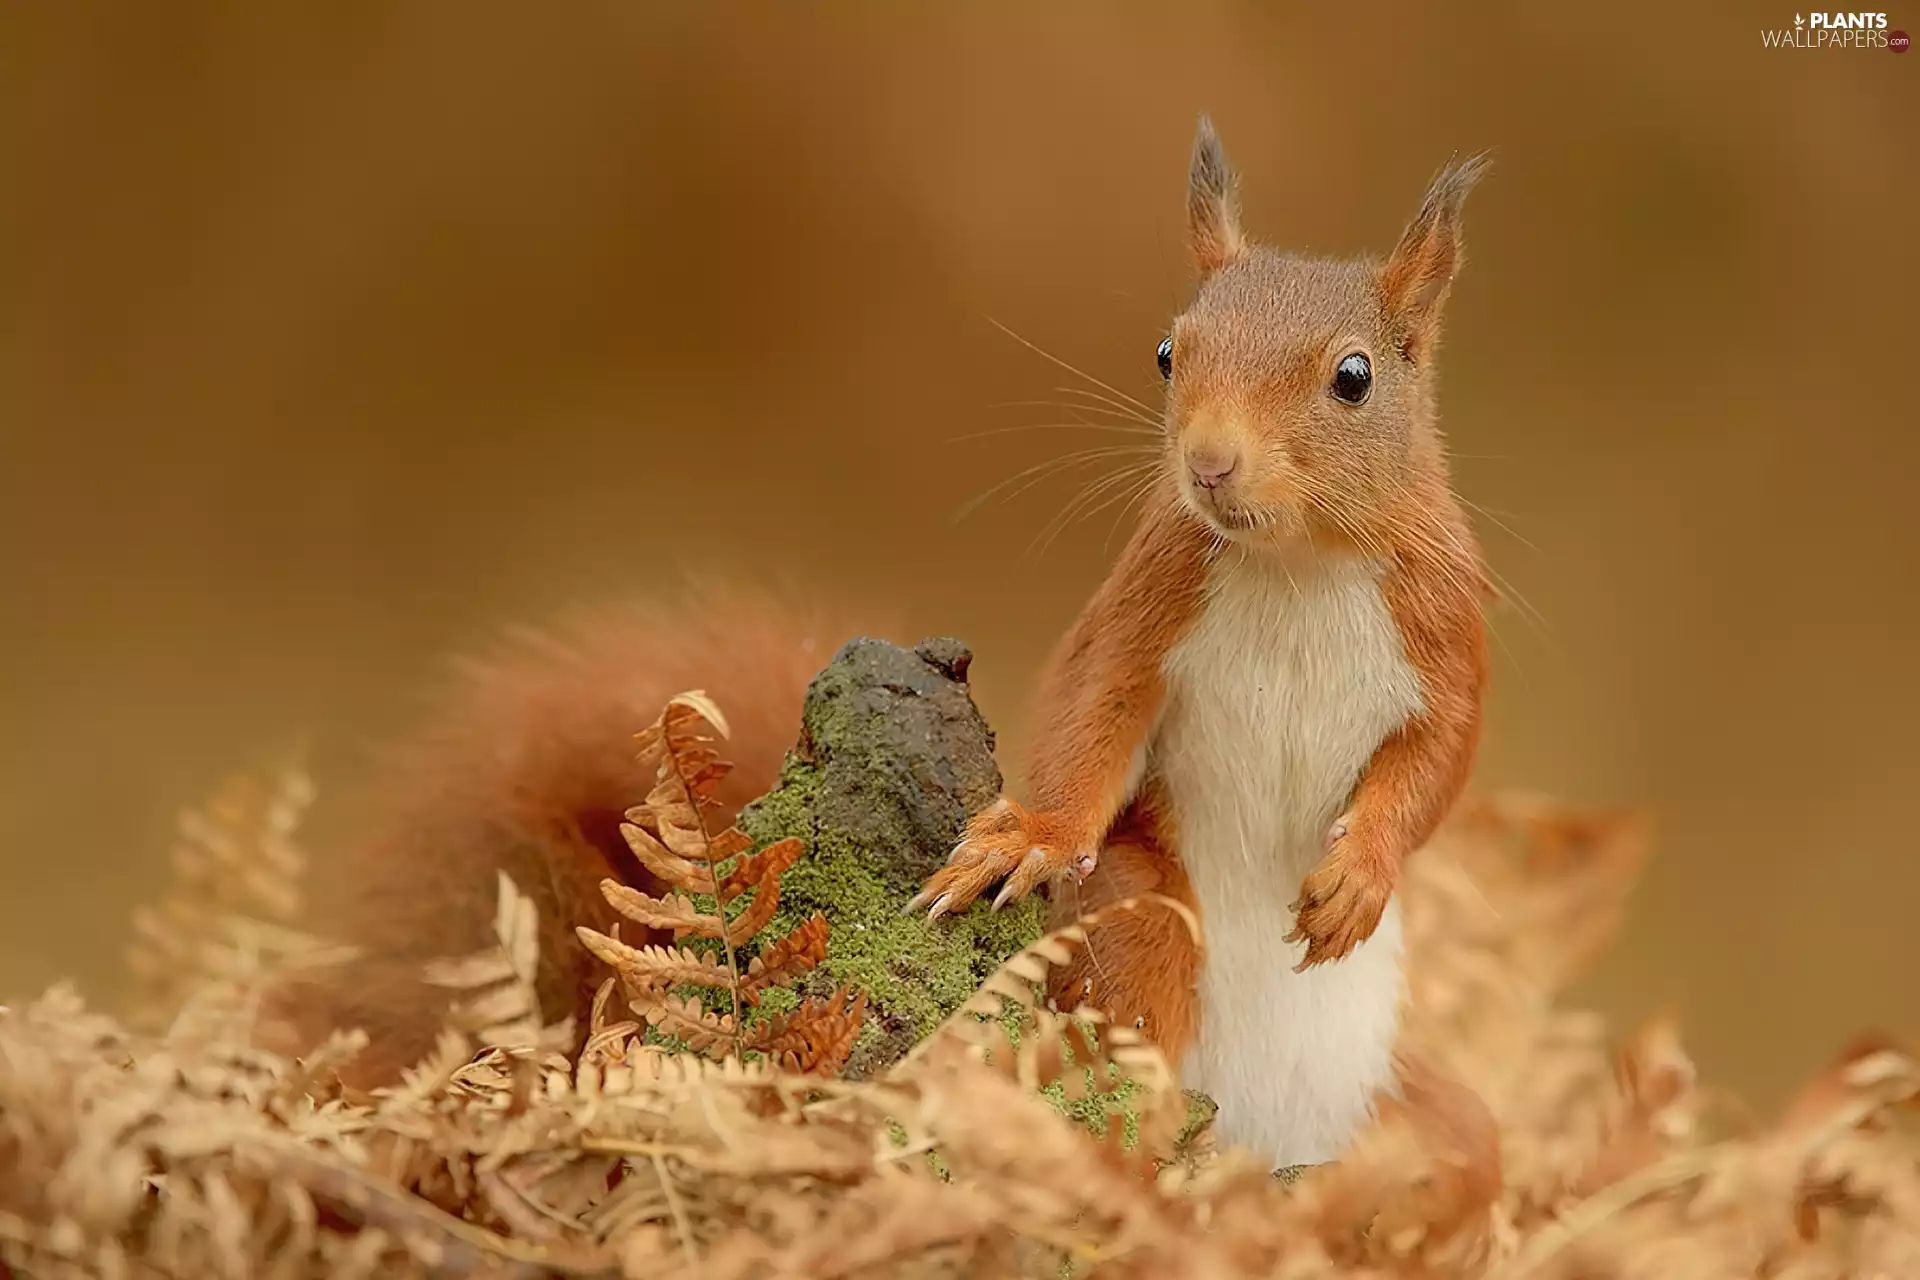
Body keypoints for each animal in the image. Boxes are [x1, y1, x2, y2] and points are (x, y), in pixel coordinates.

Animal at [906, 117, 1492, 1168]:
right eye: (1167, 352)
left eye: (1354, 377)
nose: (1210, 463)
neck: (1299, 562)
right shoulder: (1149, 598)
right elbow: (1091, 704)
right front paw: (1033, 837)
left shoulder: (1447, 632)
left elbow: (1438, 764)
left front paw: (1361, 876)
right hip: (1147, 914)